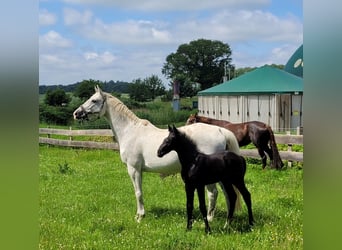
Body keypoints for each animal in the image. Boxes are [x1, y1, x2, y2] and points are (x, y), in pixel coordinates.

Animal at [72, 85, 240, 221]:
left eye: (94, 100)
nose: (76, 113)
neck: (130, 131)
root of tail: (220, 130)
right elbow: (139, 191)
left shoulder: (133, 169)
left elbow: (138, 192)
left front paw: (139, 217)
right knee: (227, 194)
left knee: (213, 193)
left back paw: (210, 218)